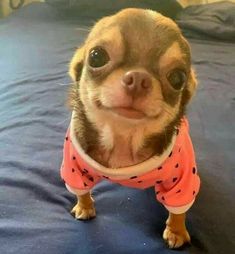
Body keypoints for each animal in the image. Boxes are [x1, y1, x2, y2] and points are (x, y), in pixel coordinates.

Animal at [60, 8, 200, 249]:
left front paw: (177, 231)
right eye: (96, 56)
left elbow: (178, 210)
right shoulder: (74, 166)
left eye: (177, 78)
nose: (138, 78)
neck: (123, 138)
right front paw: (85, 206)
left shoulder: (183, 179)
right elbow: (81, 190)